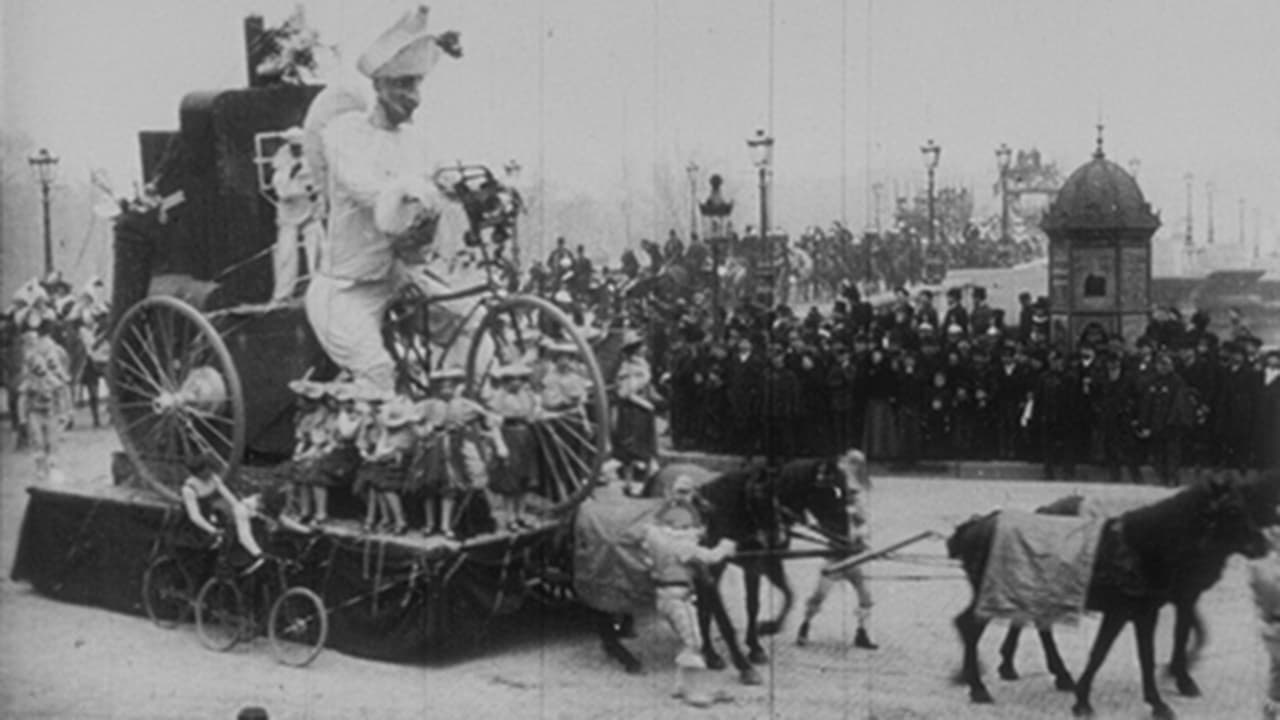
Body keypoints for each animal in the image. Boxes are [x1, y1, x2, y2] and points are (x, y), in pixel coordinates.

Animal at [998, 491, 1208, 696]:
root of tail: (1045, 511)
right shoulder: (1183, 596)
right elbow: (1189, 633)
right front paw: (1181, 677)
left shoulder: (1182, 597)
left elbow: (1195, 631)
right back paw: (1058, 675)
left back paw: (1011, 665)